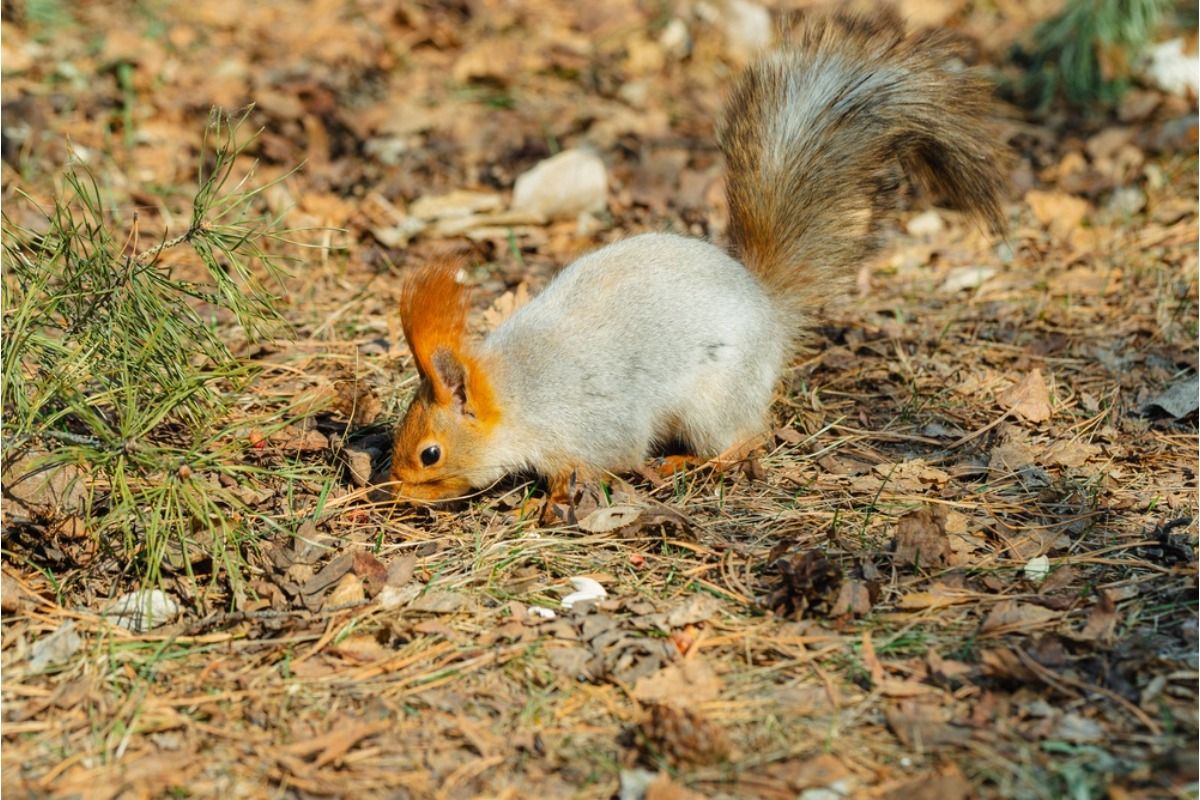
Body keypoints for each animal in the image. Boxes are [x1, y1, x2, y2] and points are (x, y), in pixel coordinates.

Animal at [388, 11, 1007, 505]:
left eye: (430, 454)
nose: (394, 490)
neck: (518, 392)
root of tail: (767, 305)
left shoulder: (592, 423)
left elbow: (602, 459)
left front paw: (550, 500)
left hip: (713, 399)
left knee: (745, 438)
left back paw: (692, 462)